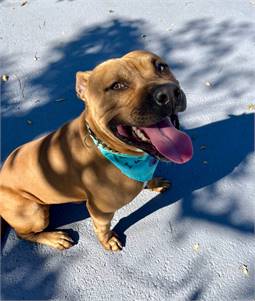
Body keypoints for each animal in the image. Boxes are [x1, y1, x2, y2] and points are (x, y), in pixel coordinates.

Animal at [0, 50, 191, 250]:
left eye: (161, 66)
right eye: (117, 86)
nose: (168, 93)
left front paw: (154, 182)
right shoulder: (100, 210)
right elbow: (102, 226)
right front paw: (108, 240)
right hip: (34, 212)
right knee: (23, 234)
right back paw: (54, 238)